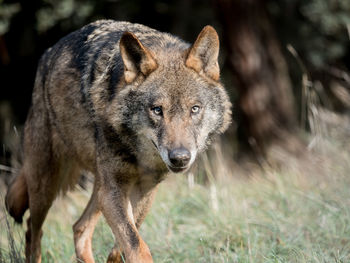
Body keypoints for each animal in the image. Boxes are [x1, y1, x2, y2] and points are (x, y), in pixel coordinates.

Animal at [4, 21, 232, 263]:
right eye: (157, 110)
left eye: (195, 109)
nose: (180, 157)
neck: (137, 153)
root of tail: (48, 53)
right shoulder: (114, 190)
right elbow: (137, 247)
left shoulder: (144, 190)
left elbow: (122, 247)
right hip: (46, 184)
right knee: (33, 230)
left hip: (97, 187)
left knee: (79, 228)